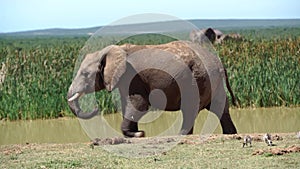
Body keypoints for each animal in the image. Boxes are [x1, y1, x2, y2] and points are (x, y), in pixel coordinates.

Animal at [67, 40, 237, 137]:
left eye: (85, 74)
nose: (96, 108)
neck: (109, 51)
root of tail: (218, 62)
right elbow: (126, 104)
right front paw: (134, 133)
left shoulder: (133, 76)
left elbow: (139, 104)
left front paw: (138, 133)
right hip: (211, 80)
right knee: (220, 108)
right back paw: (230, 134)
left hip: (197, 78)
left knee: (190, 109)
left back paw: (180, 136)